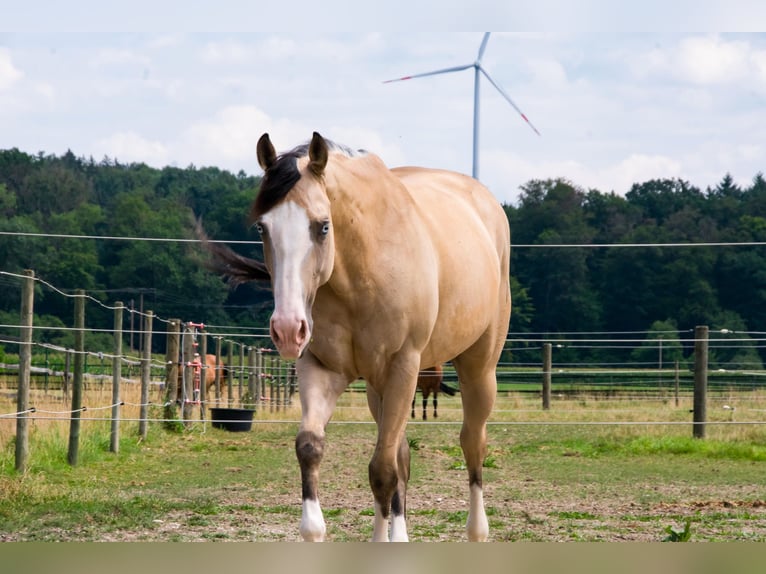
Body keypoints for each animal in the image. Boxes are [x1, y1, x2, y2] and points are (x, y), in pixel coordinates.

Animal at [204, 133, 512, 544]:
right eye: (262, 228)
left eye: (322, 226)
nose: (287, 329)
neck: (361, 269)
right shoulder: (321, 368)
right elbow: (312, 447)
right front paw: (315, 528)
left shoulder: (403, 367)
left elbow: (383, 470)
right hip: (378, 387)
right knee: (401, 454)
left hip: (477, 369)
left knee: (471, 442)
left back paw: (477, 531)